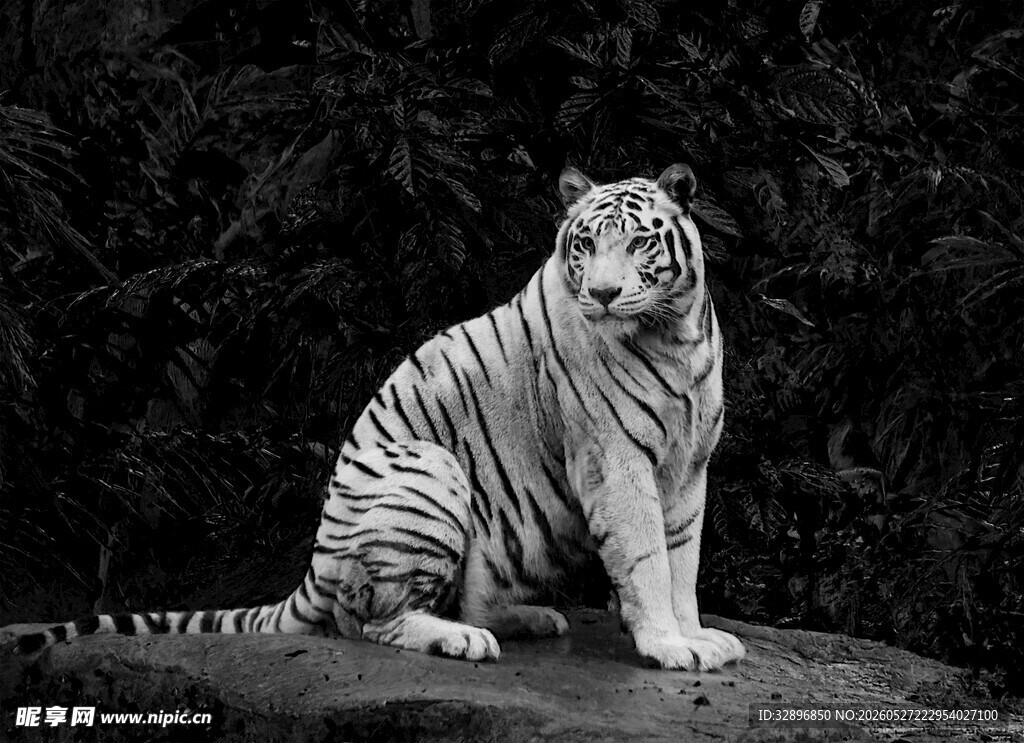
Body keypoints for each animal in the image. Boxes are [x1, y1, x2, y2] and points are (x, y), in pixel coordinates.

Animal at [13, 164, 746, 671]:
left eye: (639, 244)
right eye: (585, 246)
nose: (602, 293)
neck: (674, 334)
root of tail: (313, 565)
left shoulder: (690, 468)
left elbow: (683, 558)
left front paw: (695, 633)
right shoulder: (616, 462)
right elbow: (648, 557)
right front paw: (668, 646)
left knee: (462, 594)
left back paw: (530, 618)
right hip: (431, 471)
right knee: (372, 619)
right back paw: (465, 639)